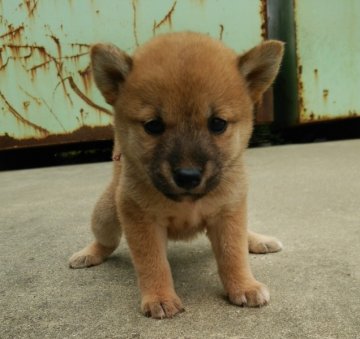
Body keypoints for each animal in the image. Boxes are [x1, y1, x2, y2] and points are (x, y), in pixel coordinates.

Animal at [69, 31, 284, 318]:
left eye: (218, 123)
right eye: (153, 126)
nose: (188, 176)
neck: (188, 204)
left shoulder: (228, 212)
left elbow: (233, 254)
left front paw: (244, 285)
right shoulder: (141, 219)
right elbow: (153, 263)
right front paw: (160, 297)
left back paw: (257, 240)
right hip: (105, 216)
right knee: (106, 242)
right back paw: (89, 254)